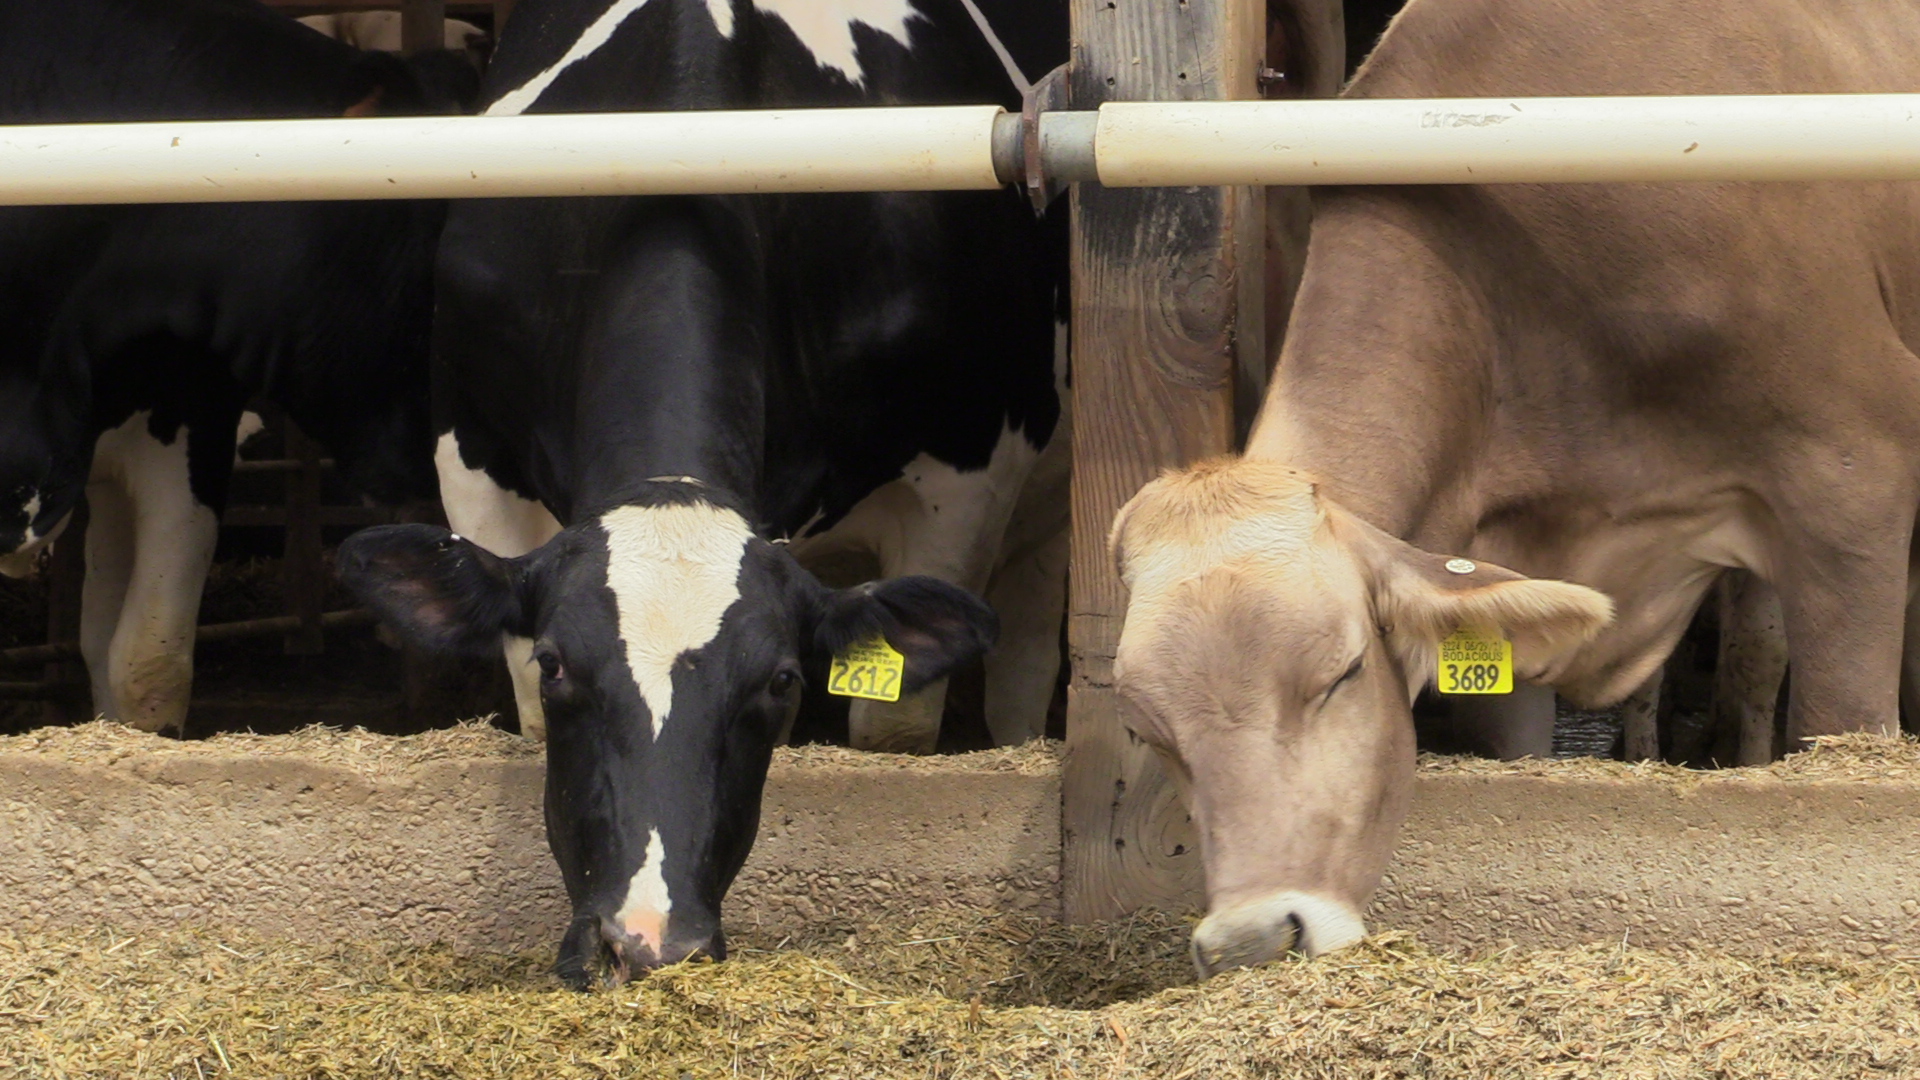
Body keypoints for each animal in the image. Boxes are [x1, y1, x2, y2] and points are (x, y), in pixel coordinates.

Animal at [334, 0, 1063, 986]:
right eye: (557, 662)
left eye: (783, 678)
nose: (645, 941)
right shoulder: (474, 466)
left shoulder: (961, 485)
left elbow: (894, 736)